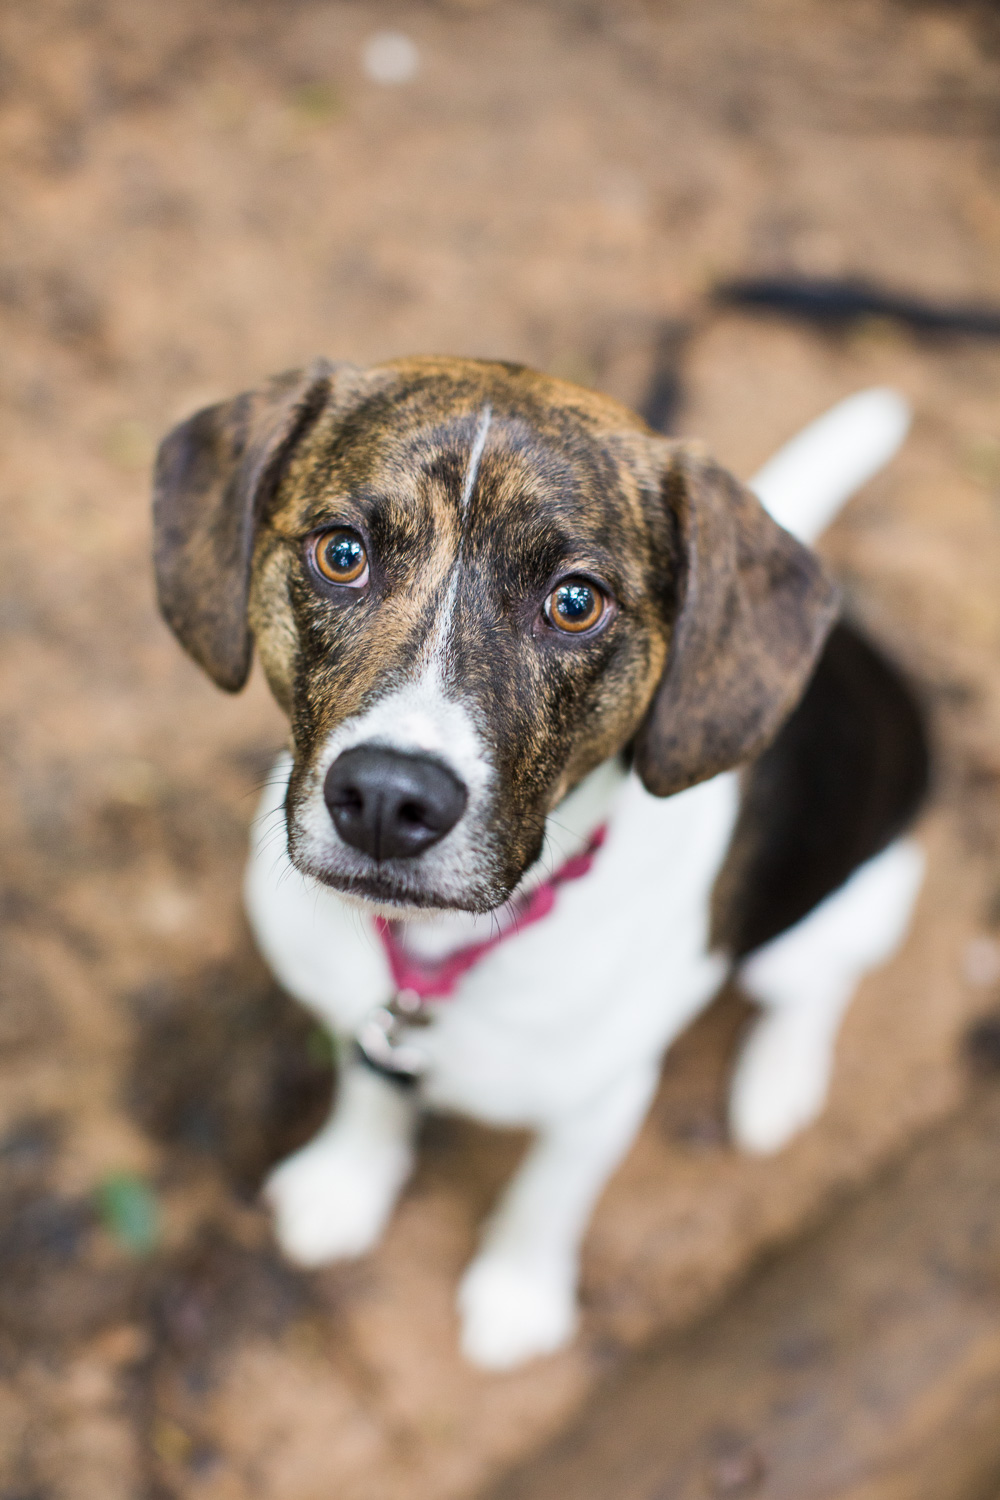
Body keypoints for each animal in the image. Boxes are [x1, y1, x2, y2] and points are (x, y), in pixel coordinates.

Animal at [152, 360, 929, 1374]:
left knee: (816, 987)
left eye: (575, 601)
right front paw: (348, 1183)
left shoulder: (601, 1102)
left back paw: (779, 1079)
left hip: (846, 908)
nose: (387, 800)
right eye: (342, 552)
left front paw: (518, 1297)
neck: (445, 950)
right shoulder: (371, 1028)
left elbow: (546, 1200)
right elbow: (370, 1098)